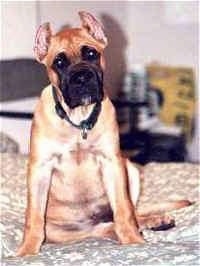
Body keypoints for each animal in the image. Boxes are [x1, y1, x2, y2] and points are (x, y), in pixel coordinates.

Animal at [16, 11, 190, 256]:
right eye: (59, 62)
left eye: (91, 54)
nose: (81, 77)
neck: (78, 121)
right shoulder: (40, 167)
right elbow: (33, 217)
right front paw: (26, 252)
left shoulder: (112, 163)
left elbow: (124, 211)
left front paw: (133, 241)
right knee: (103, 228)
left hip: (130, 169)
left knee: (127, 214)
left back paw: (154, 221)